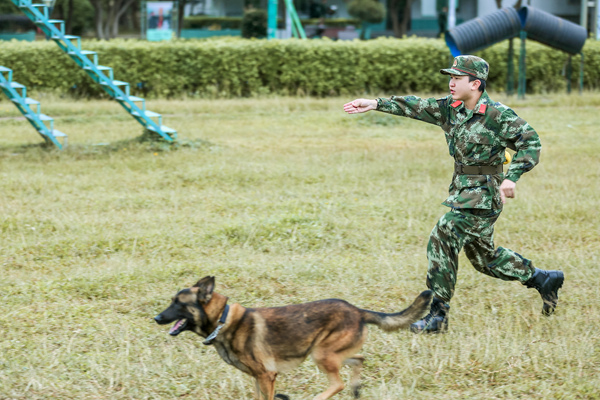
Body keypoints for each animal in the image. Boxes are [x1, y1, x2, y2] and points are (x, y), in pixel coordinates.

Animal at [155, 276, 432, 398]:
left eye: (178, 304)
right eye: (172, 301)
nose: (156, 318)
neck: (223, 321)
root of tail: (357, 310)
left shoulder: (267, 376)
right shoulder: (258, 378)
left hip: (321, 354)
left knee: (337, 384)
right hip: (331, 353)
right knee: (359, 360)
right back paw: (356, 389)